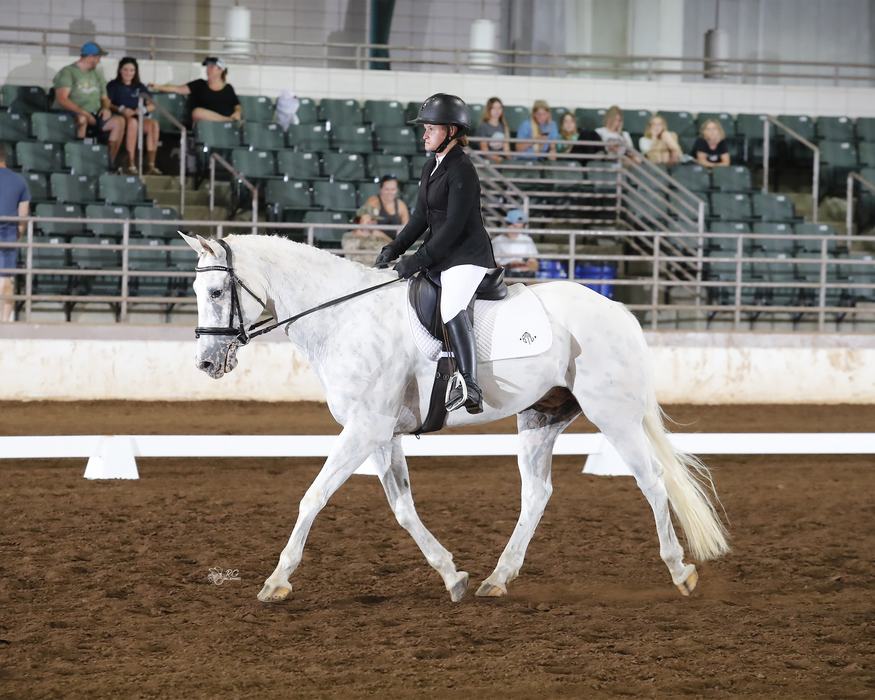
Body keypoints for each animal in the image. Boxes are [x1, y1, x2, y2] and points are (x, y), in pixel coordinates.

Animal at [180, 231, 729, 604]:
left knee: (652, 480)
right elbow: (403, 509)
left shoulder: (363, 429)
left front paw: (276, 581)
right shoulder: (380, 434)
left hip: (612, 413)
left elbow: (312, 497)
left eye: (215, 293)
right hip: (541, 417)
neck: (344, 319)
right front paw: (452, 575)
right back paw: (496, 579)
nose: (206, 363)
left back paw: (680, 571)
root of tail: (618, 311)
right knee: (537, 494)